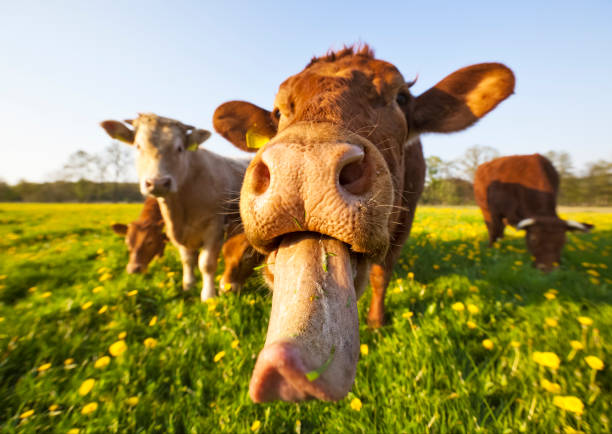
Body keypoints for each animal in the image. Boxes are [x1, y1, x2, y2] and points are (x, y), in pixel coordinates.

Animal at [100, 113, 249, 300]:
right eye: (138, 146)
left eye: (179, 148)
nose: (158, 182)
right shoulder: (175, 232)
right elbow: (187, 259)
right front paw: (189, 285)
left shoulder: (214, 227)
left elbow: (206, 263)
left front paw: (208, 296)